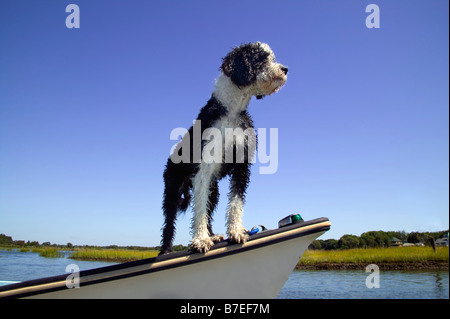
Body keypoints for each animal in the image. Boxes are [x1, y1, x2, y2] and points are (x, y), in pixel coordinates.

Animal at [160, 42, 288, 255]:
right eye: (260, 58)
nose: (285, 69)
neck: (231, 111)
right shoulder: (203, 169)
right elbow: (199, 208)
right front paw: (200, 240)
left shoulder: (242, 165)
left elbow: (236, 201)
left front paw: (236, 231)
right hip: (173, 190)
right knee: (169, 223)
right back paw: (166, 251)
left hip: (214, 191)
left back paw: (213, 235)